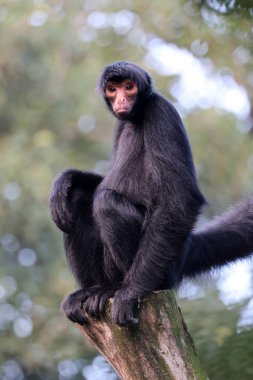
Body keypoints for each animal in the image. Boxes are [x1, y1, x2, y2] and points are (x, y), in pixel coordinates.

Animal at [49, 60, 253, 326]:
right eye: (113, 89)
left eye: (129, 87)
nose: (121, 99)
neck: (136, 116)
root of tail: (184, 249)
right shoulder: (121, 123)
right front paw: (67, 178)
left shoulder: (160, 111)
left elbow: (180, 200)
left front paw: (130, 292)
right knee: (77, 198)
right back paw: (92, 289)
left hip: (164, 269)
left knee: (106, 201)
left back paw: (115, 288)